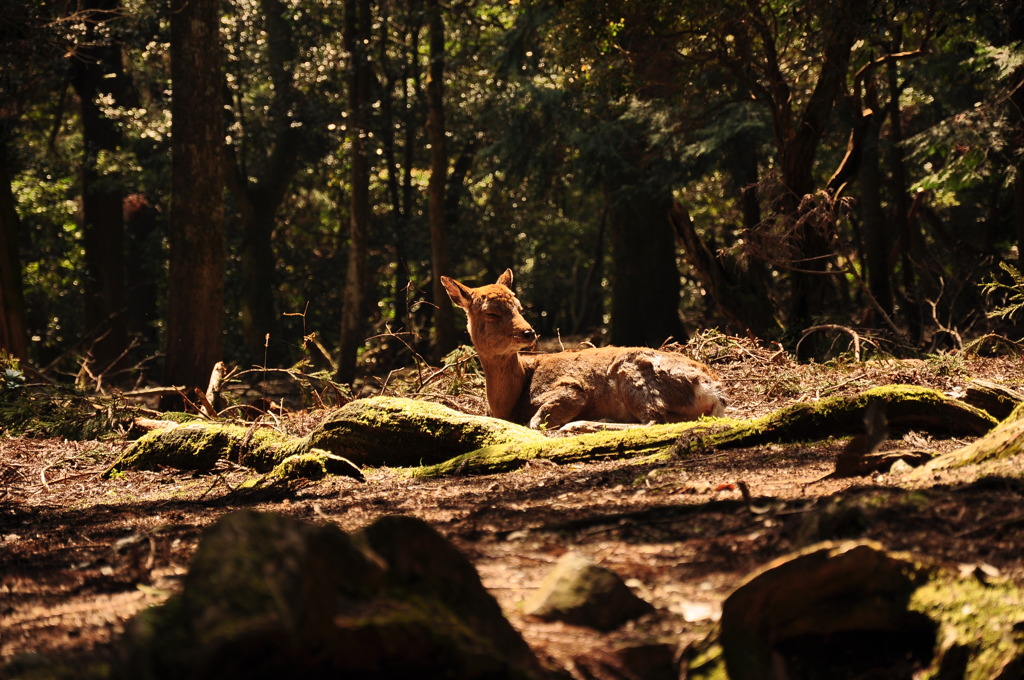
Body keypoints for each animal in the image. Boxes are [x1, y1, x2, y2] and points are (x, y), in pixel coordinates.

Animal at [442, 268, 729, 428]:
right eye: (491, 313)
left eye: (519, 307)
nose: (529, 332)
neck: (507, 404)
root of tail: (712, 390)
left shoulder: (571, 388)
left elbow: (536, 420)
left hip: (633, 373)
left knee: (653, 420)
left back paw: (581, 424)